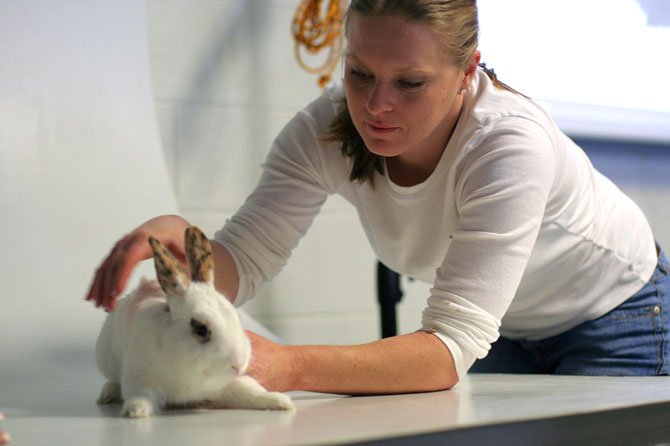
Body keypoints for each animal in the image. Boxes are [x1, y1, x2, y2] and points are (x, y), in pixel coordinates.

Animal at [96, 226, 296, 418]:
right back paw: (106, 395)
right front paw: (136, 411)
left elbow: (249, 390)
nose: (238, 364)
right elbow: (140, 395)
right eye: (201, 329)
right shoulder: (139, 376)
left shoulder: (229, 382)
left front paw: (281, 402)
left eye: (236, 317)